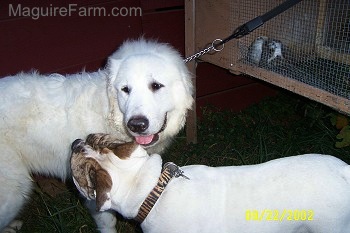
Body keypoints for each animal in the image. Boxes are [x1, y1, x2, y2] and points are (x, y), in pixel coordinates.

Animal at [0, 39, 194, 232]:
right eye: (125, 89)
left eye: (156, 86)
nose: (136, 125)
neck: (110, 114)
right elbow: (107, 220)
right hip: (13, 190)